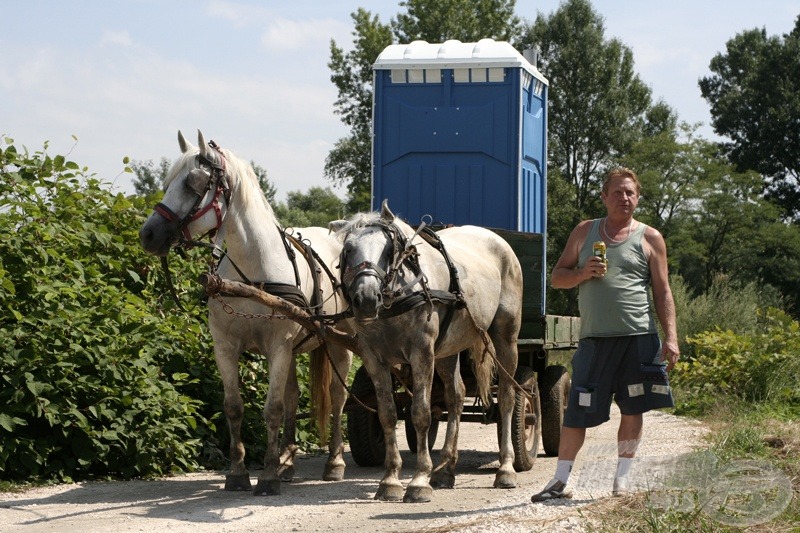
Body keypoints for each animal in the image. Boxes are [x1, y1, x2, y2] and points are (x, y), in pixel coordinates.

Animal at [139, 131, 352, 496]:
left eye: (194, 183)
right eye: (167, 183)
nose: (148, 234)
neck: (254, 272)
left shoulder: (278, 347)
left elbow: (272, 410)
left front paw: (266, 476)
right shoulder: (226, 346)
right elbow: (235, 407)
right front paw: (239, 472)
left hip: (339, 344)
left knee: (337, 398)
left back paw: (334, 463)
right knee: (294, 398)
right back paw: (287, 463)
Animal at [332, 202, 524, 500]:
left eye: (388, 250)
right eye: (349, 249)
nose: (366, 299)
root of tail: (496, 238)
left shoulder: (422, 353)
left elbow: (421, 413)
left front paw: (419, 480)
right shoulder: (374, 358)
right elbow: (387, 414)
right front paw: (390, 480)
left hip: (506, 338)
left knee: (506, 397)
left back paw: (505, 469)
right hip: (447, 350)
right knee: (455, 397)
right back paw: (445, 469)